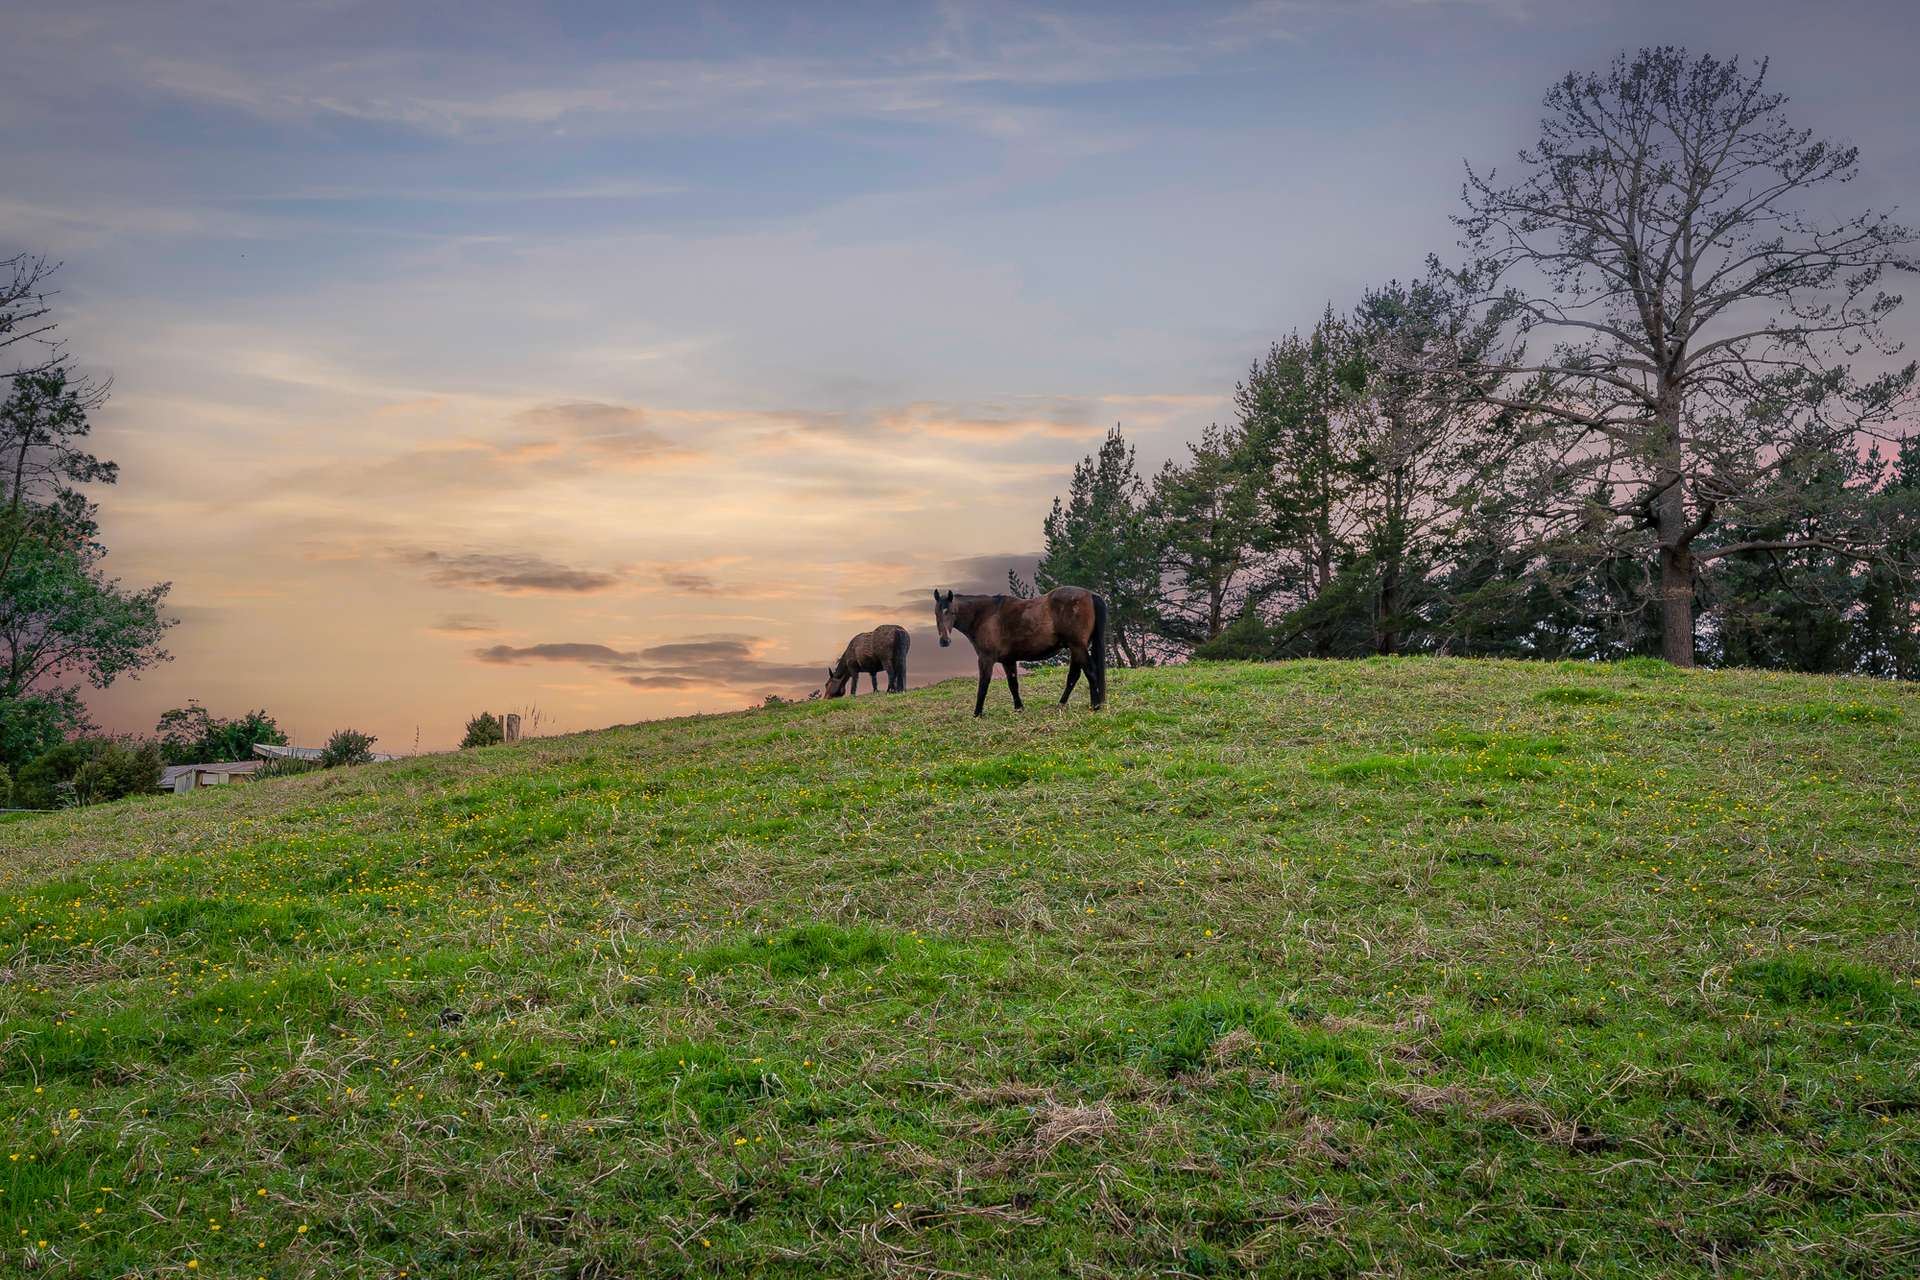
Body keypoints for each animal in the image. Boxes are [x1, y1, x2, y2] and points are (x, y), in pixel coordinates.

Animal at [933, 587, 1113, 717]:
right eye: (936, 613)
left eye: (951, 612)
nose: (944, 641)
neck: (985, 615)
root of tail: (1090, 594)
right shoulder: (1008, 660)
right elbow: (1013, 684)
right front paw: (1019, 708)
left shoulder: (986, 659)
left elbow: (983, 685)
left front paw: (977, 714)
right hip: (1076, 648)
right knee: (1074, 676)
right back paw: (1064, 704)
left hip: (1077, 646)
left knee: (1090, 673)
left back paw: (1095, 705)